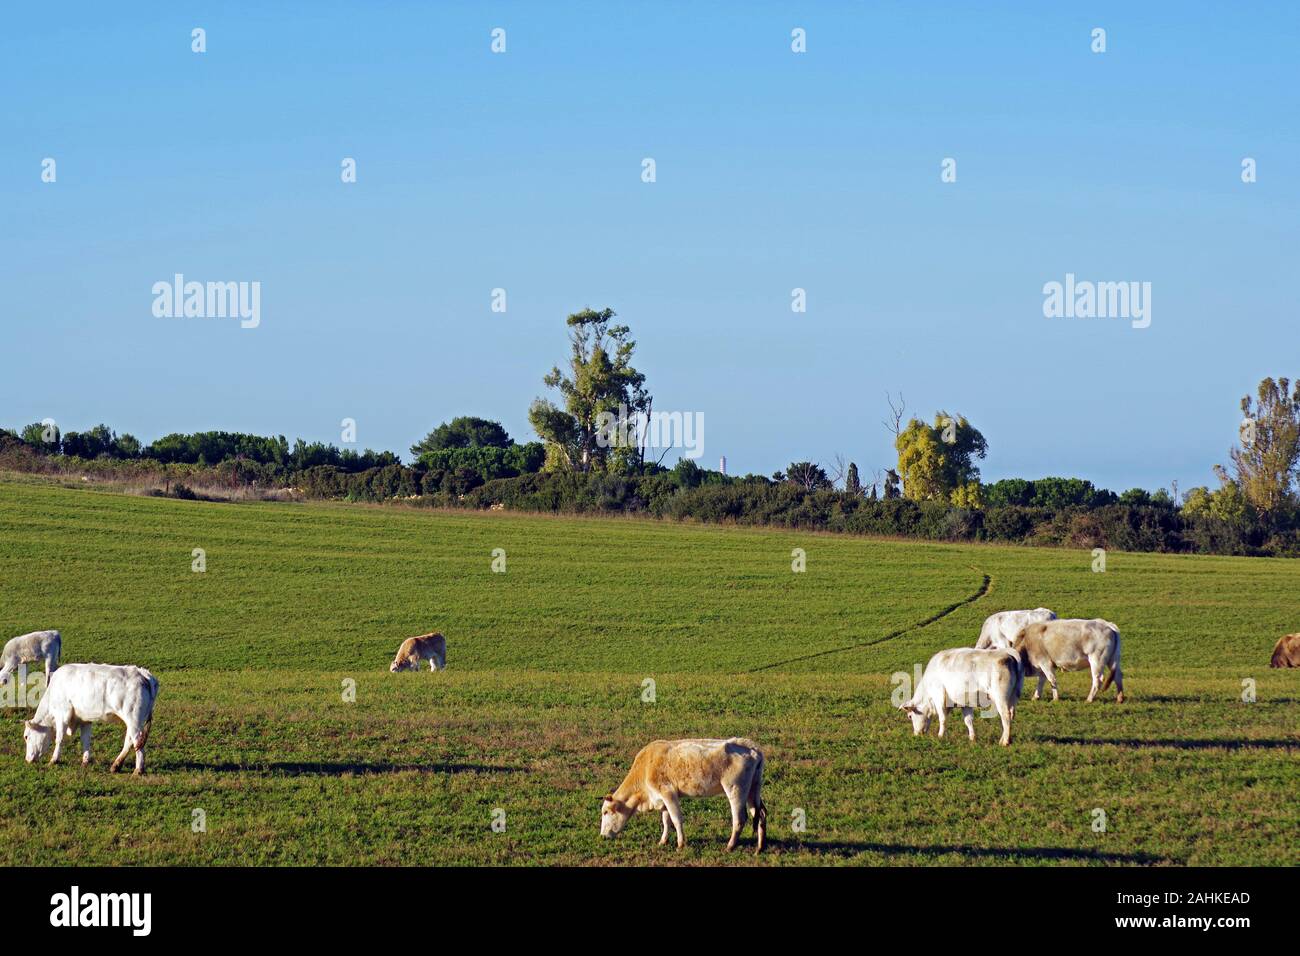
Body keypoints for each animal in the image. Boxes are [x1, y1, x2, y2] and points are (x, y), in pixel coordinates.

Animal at [23, 665, 159, 780]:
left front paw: (54, 760)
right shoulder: (85, 720)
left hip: (134, 719)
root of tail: (143, 673)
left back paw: (138, 770)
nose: (27, 759)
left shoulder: (62, 715)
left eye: (26, 736)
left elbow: (59, 739)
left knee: (137, 743)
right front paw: (85, 761)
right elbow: (85, 740)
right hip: (133, 722)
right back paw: (116, 766)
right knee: (129, 742)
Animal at [600, 738, 764, 853]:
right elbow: (666, 820)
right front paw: (663, 841)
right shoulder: (663, 799)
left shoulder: (668, 793)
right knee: (761, 814)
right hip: (752, 791)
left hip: (736, 789)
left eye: (606, 812)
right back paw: (760, 848)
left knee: (739, 819)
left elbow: (676, 819)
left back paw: (730, 846)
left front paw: (680, 844)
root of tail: (751, 748)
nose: (602, 836)